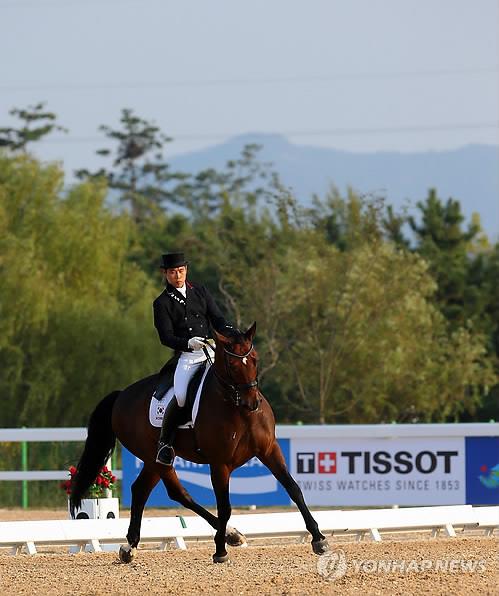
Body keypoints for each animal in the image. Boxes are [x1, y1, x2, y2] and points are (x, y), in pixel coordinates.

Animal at [69, 324, 328, 560]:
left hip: (153, 461)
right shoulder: (220, 463)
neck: (237, 408)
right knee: (177, 492)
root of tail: (121, 395)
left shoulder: (269, 450)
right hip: (156, 457)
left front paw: (319, 539)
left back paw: (129, 546)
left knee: (141, 489)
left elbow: (293, 488)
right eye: (233, 365)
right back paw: (230, 535)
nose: (252, 403)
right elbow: (224, 506)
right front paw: (220, 551)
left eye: (254, 359)